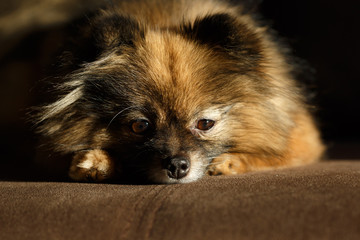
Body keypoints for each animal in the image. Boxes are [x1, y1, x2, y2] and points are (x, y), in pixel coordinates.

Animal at [33, 0, 324, 184]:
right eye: (140, 126)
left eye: (205, 123)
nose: (176, 165)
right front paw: (99, 161)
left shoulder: (303, 139)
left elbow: (276, 155)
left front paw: (231, 162)